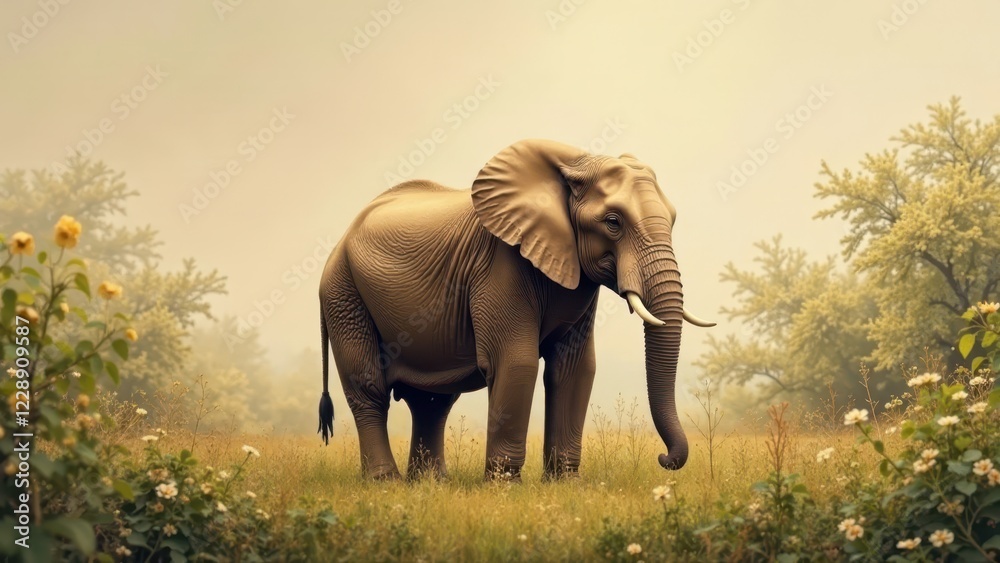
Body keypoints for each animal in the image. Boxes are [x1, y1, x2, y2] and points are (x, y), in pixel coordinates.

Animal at [317, 139, 715, 481]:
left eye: (673, 221)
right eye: (613, 222)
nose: (664, 458)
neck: (574, 163)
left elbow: (575, 368)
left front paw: (565, 484)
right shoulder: (499, 262)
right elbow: (517, 362)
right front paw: (503, 486)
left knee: (431, 400)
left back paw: (432, 483)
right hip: (343, 293)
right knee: (369, 388)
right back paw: (386, 482)